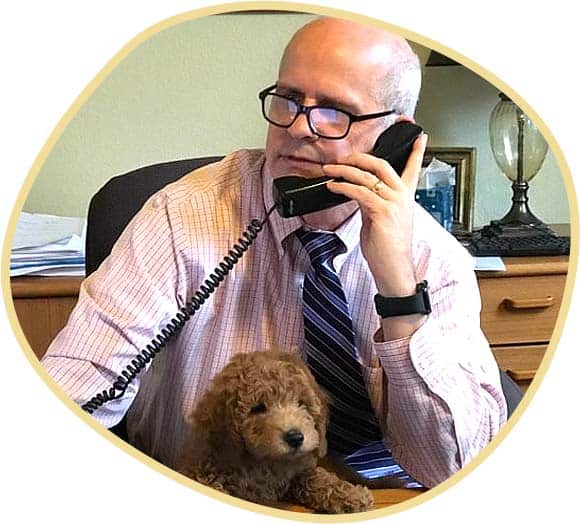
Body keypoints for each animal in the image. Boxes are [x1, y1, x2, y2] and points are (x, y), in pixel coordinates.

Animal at [177, 348, 374, 512]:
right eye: (257, 408)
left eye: (301, 404)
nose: (295, 438)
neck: (264, 460)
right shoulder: (203, 470)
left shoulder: (296, 472)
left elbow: (315, 478)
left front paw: (352, 495)